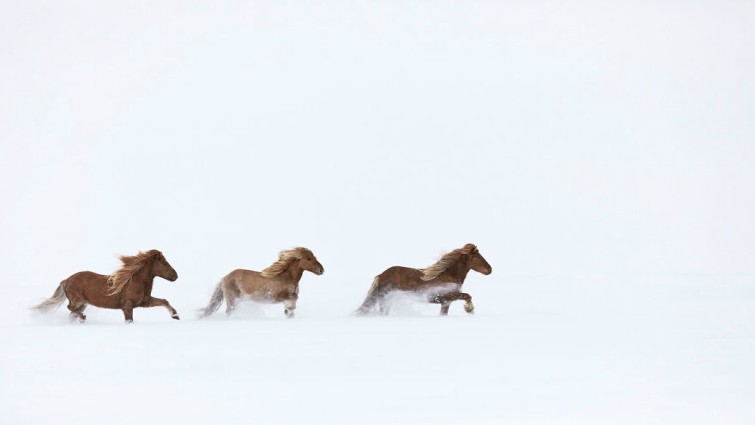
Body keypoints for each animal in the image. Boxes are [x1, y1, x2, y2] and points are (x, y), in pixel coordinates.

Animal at [33, 249, 179, 323]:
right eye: (164, 262)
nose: (175, 276)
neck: (134, 281)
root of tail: (66, 280)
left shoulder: (144, 301)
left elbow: (164, 301)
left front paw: (175, 316)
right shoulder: (127, 306)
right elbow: (129, 320)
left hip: (84, 303)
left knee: (72, 313)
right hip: (77, 300)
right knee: (70, 308)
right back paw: (83, 318)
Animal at [354, 243, 492, 316]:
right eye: (477, 258)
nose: (490, 270)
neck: (449, 275)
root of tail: (381, 275)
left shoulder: (446, 302)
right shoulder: (449, 297)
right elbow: (467, 295)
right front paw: (470, 310)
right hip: (384, 300)